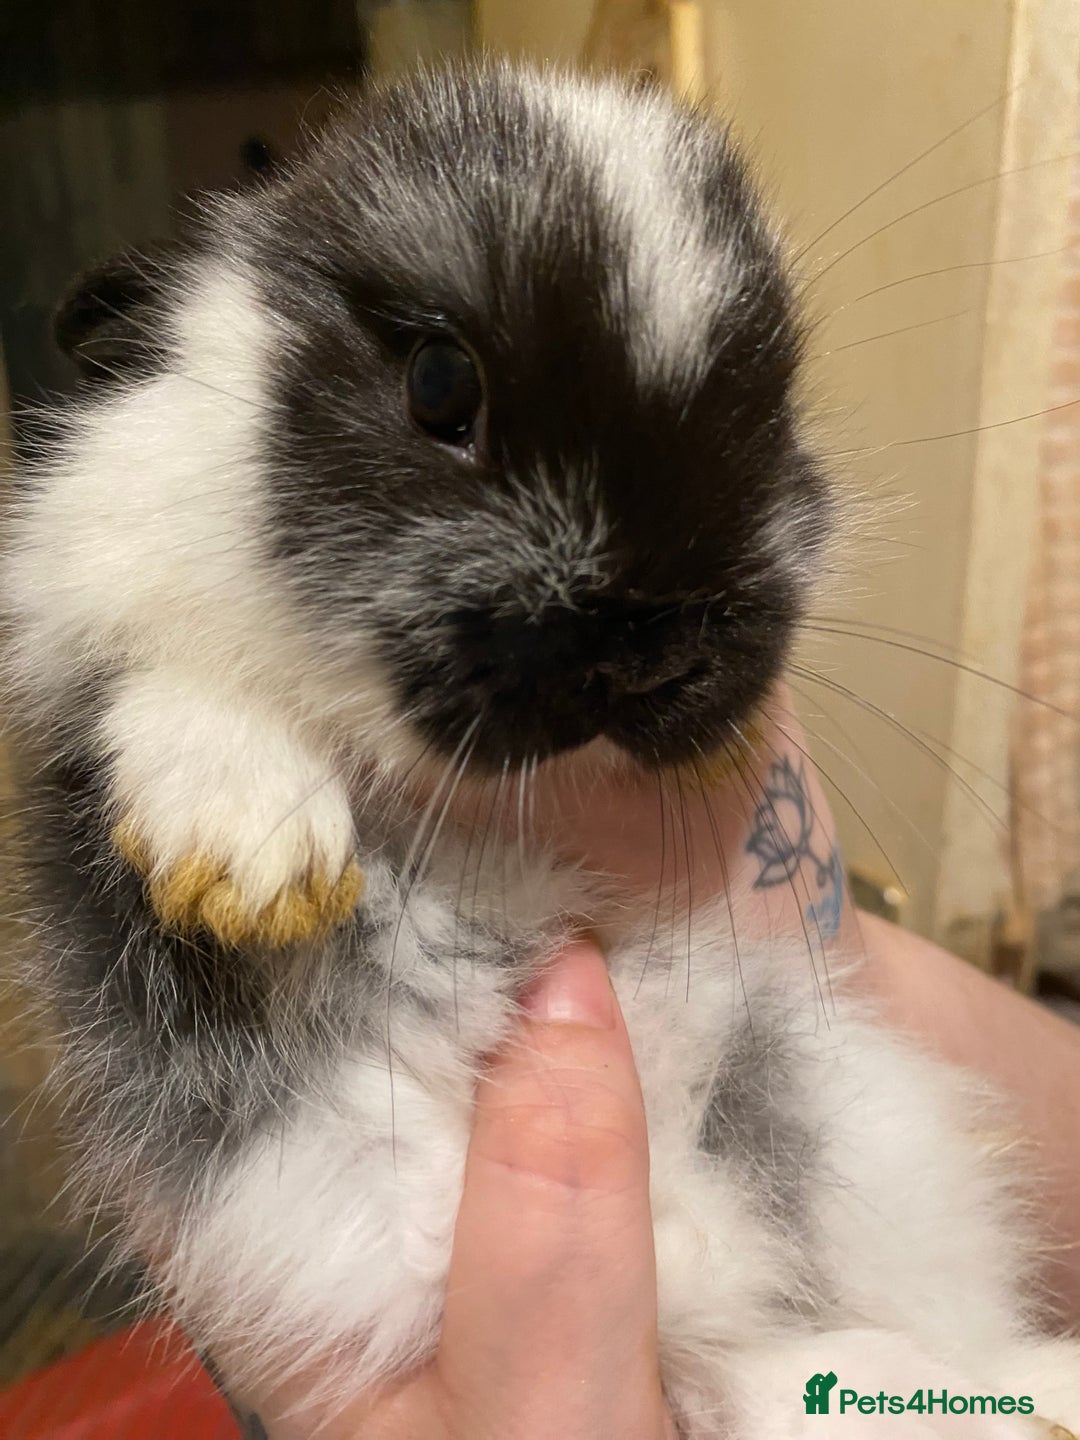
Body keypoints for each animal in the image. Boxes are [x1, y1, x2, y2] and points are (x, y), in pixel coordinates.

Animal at [3, 61, 1079, 1437]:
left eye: (772, 409)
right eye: (438, 384)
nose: (654, 649)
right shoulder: (93, 624)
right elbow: (169, 692)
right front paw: (252, 861)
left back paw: (1039, 1387)